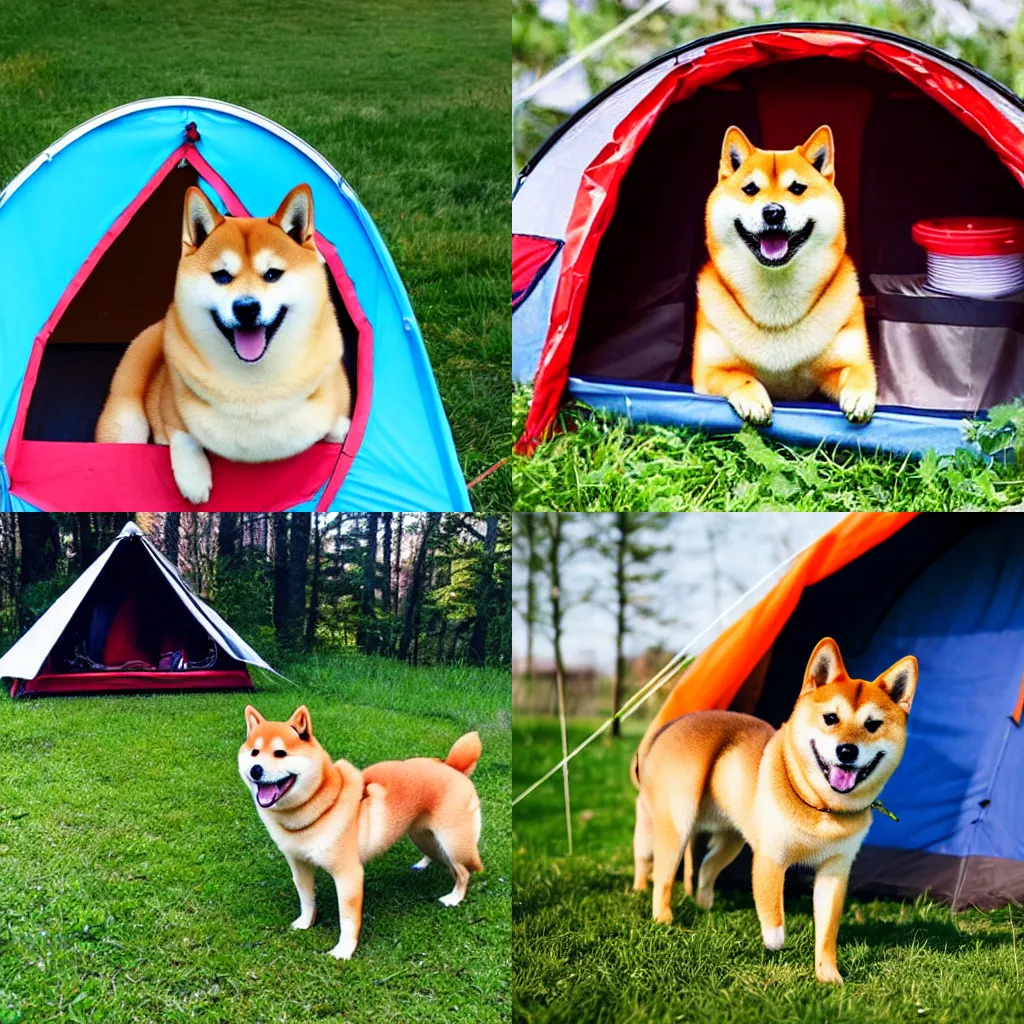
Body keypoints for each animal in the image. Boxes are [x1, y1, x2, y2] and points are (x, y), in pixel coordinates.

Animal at [96, 186, 352, 505]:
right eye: (221, 276)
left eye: (272, 274)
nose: (246, 307)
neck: (254, 387)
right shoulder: (169, 408)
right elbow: (181, 431)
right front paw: (194, 476)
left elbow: (339, 429)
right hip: (127, 415)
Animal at [239, 704, 483, 958]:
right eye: (254, 753)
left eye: (280, 753)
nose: (256, 770)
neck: (321, 807)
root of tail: (452, 766)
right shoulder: (299, 865)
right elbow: (306, 899)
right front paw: (305, 924)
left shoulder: (349, 876)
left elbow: (347, 920)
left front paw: (343, 951)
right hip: (422, 835)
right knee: (441, 858)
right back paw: (423, 864)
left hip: (454, 843)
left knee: (463, 871)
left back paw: (454, 897)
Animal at [630, 638, 921, 983]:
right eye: (831, 718)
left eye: (873, 725)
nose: (847, 751)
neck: (821, 808)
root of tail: (670, 726)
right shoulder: (771, 858)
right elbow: (773, 914)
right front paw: (774, 943)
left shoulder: (835, 871)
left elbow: (827, 932)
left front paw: (828, 975)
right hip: (676, 825)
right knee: (659, 875)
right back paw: (660, 914)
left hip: (730, 841)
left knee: (706, 869)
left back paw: (704, 906)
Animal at [696, 125, 880, 425]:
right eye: (750, 189)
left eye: (797, 188)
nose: (773, 212)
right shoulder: (707, 372)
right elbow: (739, 377)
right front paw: (753, 398)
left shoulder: (849, 360)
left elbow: (859, 373)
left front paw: (859, 395)